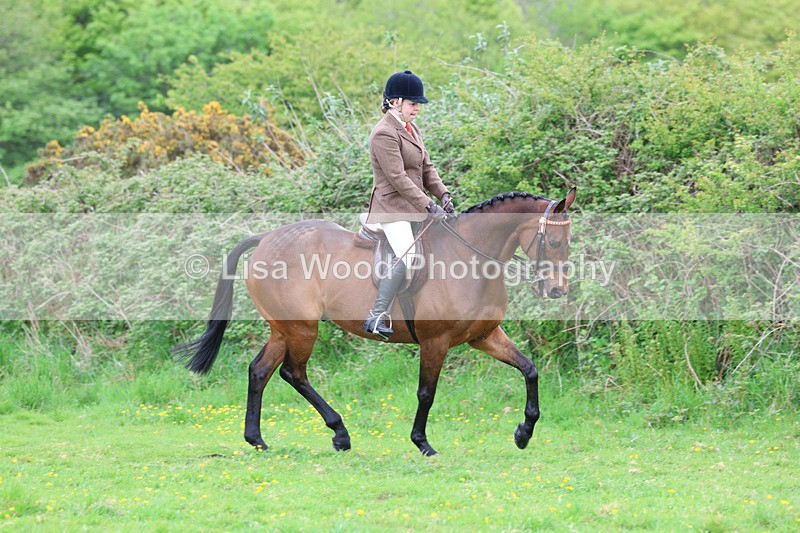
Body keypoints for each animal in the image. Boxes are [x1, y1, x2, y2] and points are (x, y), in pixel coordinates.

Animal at [174, 188, 576, 456]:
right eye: (555, 242)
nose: (557, 290)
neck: (469, 258)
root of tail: (267, 239)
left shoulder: (485, 336)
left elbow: (529, 369)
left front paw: (524, 432)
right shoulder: (436, 341)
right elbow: (426, 393)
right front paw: (422, 443)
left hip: (283, 328)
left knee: (260, 371)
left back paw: (257, 440)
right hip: (302, 328)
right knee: (293, 373)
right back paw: (340, 434)